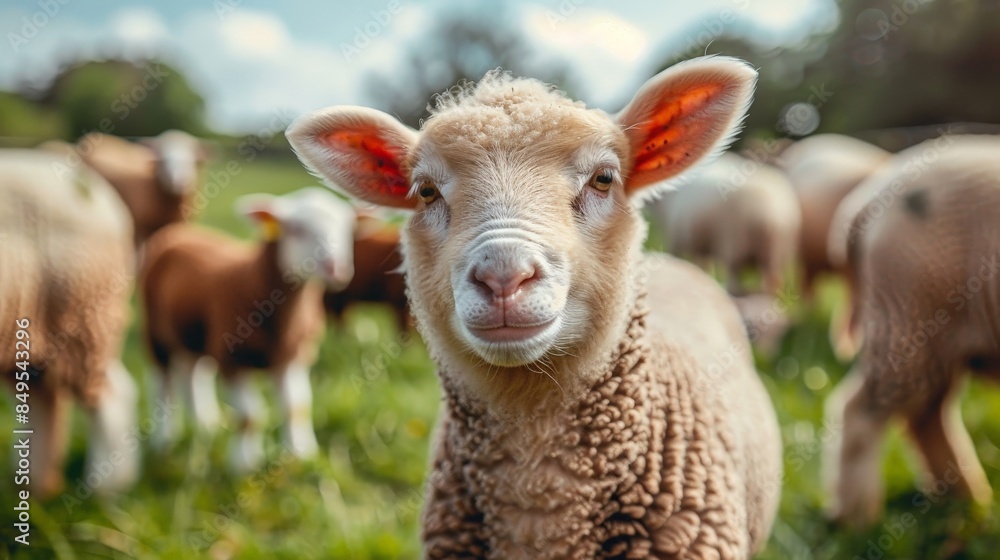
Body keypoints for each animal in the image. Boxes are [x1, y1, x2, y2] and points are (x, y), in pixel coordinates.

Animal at [140, 188, 356, 471]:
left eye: (347, 231)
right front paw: (243, 464)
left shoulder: (292, 356)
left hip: (194, 334)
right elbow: (248, 416)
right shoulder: (232, 359)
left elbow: (296, 407)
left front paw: (300, 454)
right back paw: (163, 440)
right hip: (155, 331)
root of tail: (179, 233)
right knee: (161, 383)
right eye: (297, 230)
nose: (338, 269)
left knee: (192, 375)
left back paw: (205, 424)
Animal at [647, 152, 801, 295]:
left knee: (736, 277)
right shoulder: (701, 245)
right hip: (776, 252)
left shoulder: (678, 239)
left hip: (735, 242)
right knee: (774, 281)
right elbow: (703, 267)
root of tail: (772, 214)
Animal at [824, 134, 998, 528]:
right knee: (863, 410)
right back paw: (857, 520)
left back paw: (966, 503)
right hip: (909, 315)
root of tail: (865, 204)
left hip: (934, 333)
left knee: (926, 415)